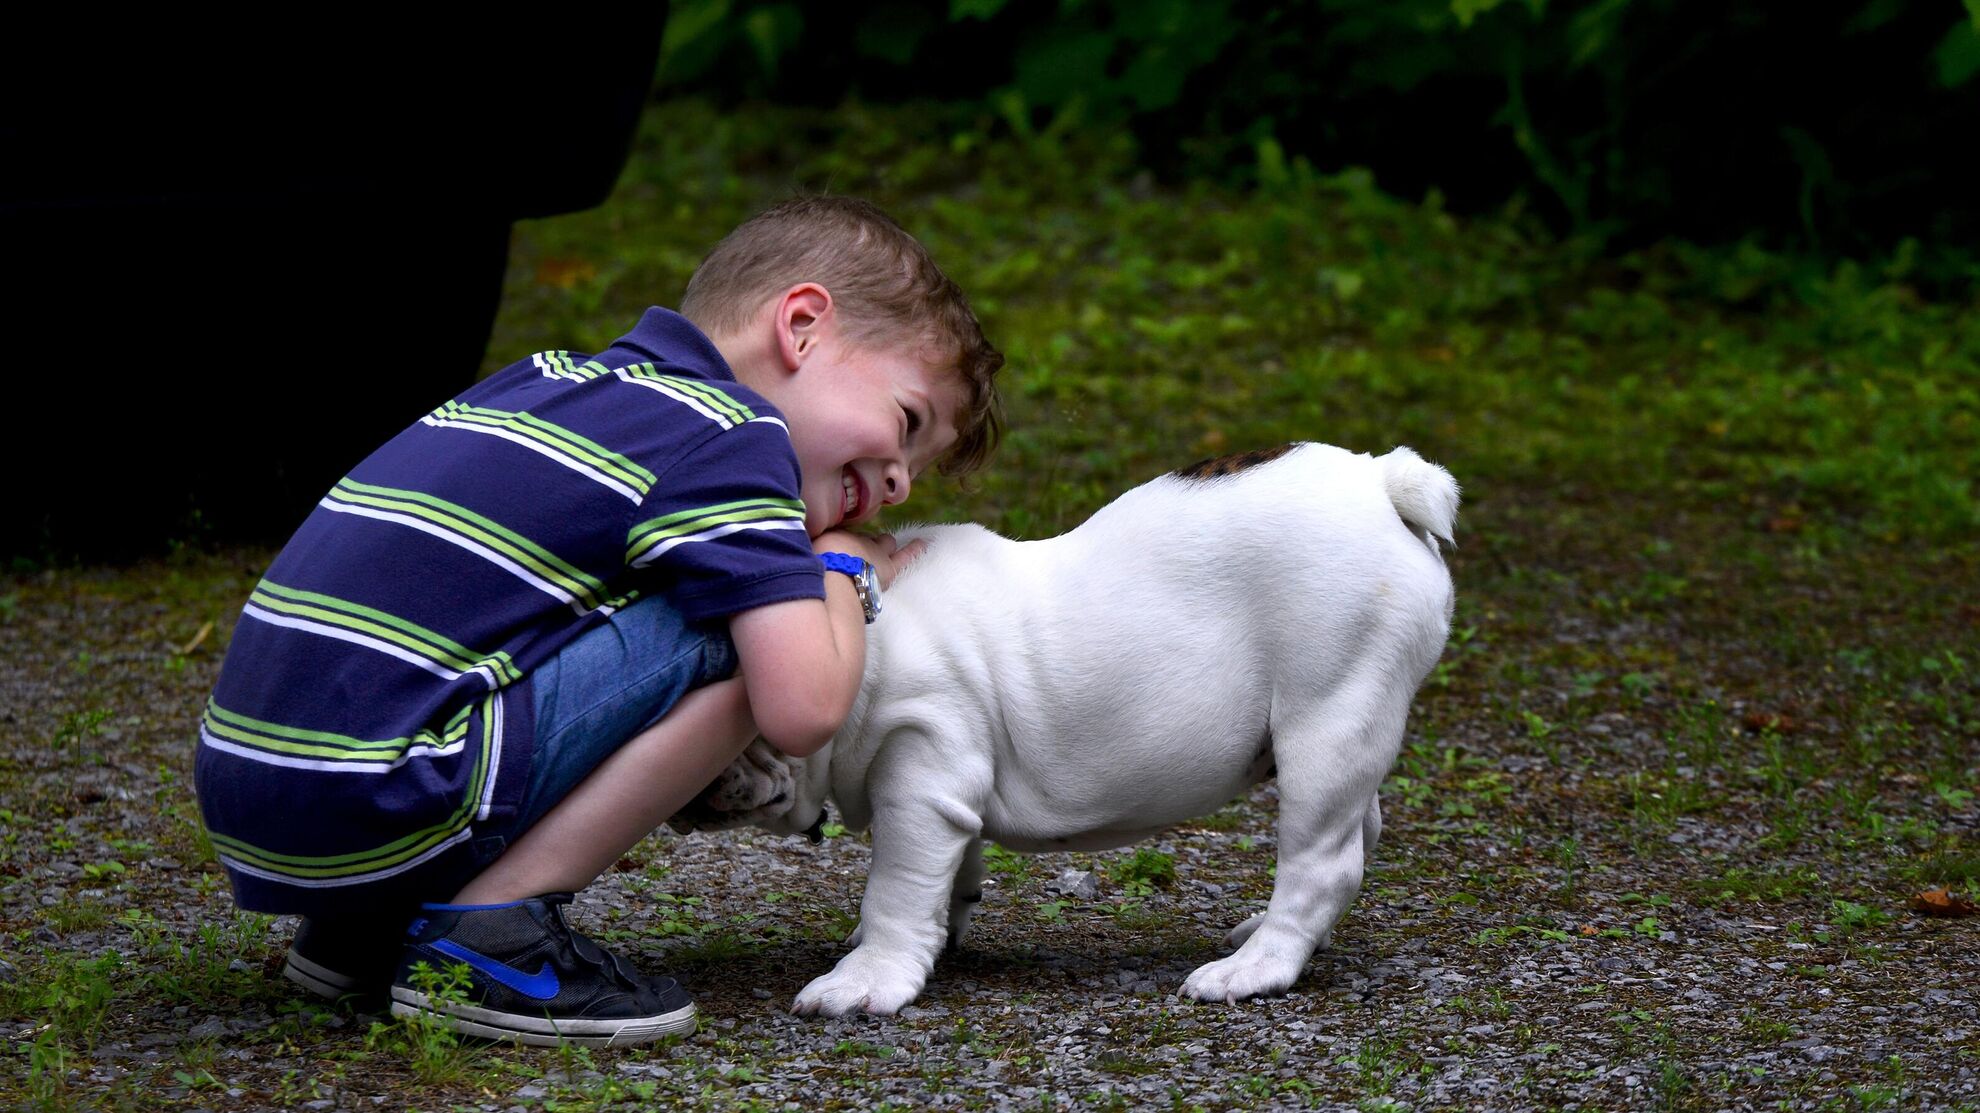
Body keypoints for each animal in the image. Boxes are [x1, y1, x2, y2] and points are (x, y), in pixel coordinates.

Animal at [673, 441, 1465, 1013]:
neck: (858, 635)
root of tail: (1382, 482)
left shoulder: (920, 773)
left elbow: (896, 888)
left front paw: (865, 978)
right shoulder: (945, 792)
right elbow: (947, 872)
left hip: (1328, 713)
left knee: (1321, 859)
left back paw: (1252, 968)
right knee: (1357, 829)